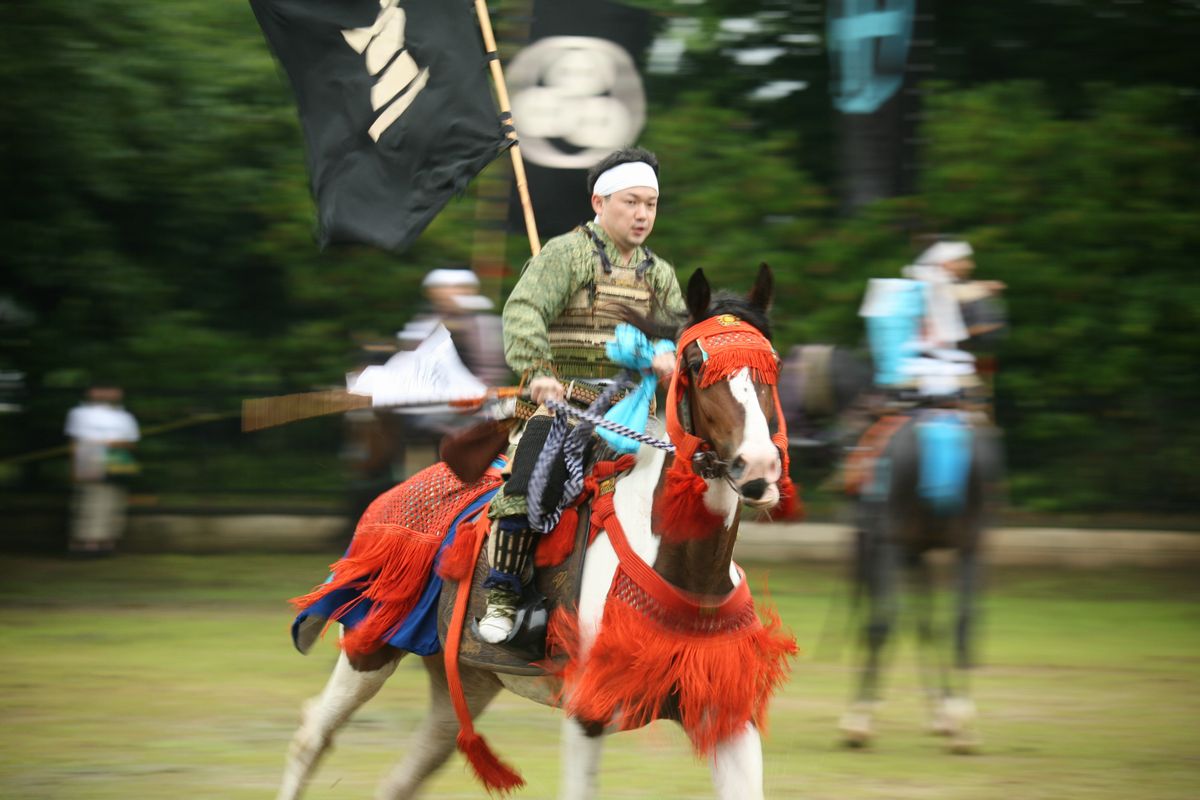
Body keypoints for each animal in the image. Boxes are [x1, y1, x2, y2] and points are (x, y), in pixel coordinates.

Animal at [274, 266, 792, 796]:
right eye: (694, 363)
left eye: (771, 363)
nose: (758, 468)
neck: (683, 565)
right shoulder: (587, 713)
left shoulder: (727, 716)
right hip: (370, 642)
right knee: (313, 735)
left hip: (466, 677)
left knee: (406, 772)